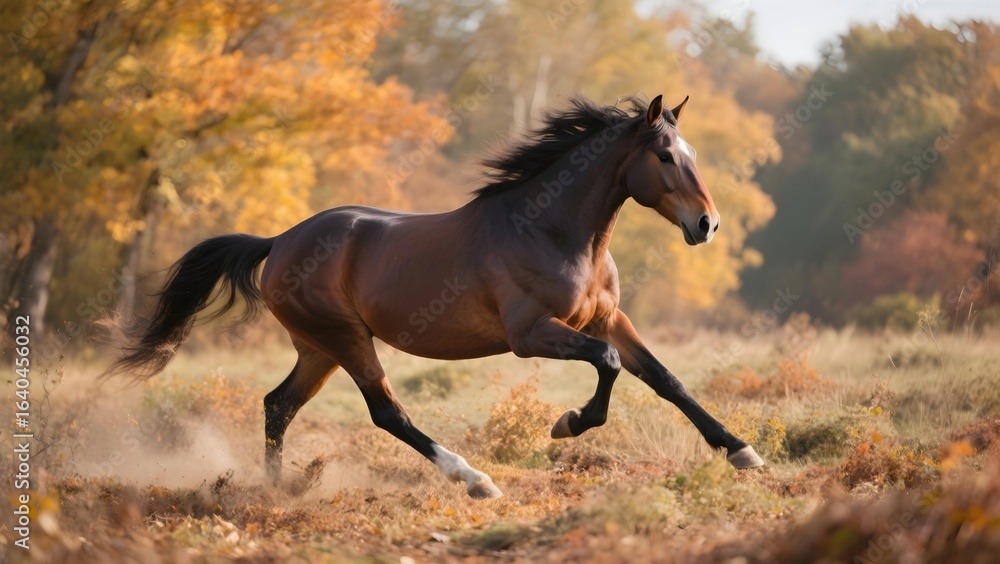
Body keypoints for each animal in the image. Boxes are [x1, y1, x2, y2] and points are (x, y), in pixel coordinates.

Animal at [108, 94, 764, 499]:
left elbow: (665, 378)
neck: (551, 231)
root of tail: (281, 241)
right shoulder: (532, 335)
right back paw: (474, 479)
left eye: (691, 154)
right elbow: (607, 368)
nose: (707, 224)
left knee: (278, 405)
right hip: (347, 341)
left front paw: (739, 450)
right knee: (385, 412)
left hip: (318, 349)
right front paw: (568, 424)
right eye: (664, 156)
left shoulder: (608, 319)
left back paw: (275, 490)